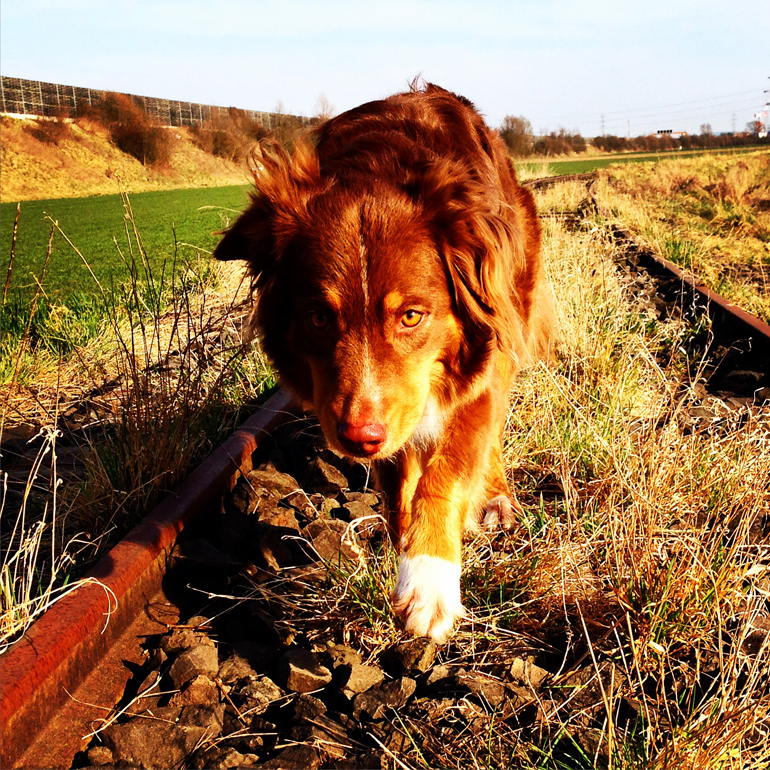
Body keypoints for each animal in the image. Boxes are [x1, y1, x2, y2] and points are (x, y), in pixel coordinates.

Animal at [213, 81, 548, 640]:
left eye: (411, 316)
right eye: (318, 318)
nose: (357, 438)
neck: (377, 171)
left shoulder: (476, 366)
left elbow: (448, 470)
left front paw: (430, 579)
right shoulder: (389, 410)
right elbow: (396, 486)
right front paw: (402, 541)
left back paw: (496, 498)